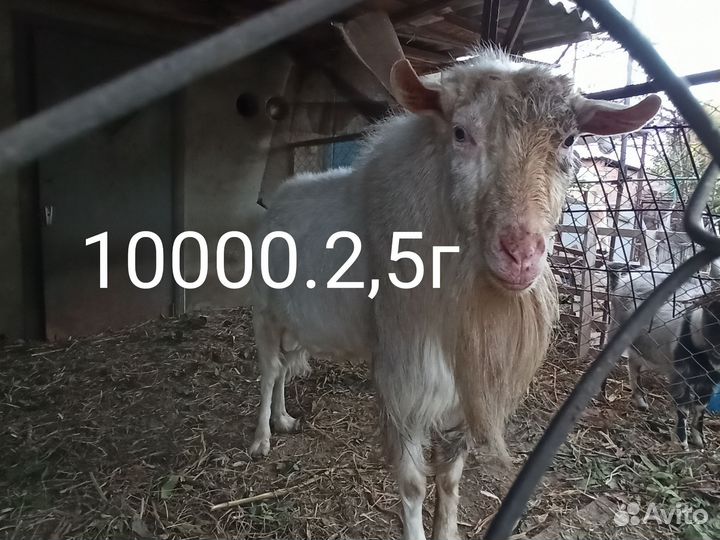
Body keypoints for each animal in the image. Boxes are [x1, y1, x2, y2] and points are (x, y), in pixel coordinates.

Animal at [251, 50, 660, 540]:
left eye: (568, 139)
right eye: (461, 133)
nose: (521, 254)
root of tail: (279, 200)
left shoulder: (461, 387)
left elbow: (449, 478)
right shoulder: (404, 379)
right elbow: (412, 484)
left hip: (296, 322)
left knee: (283, 369)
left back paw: (283, 419)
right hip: (265, 312)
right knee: (269, 371)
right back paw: (260, 438)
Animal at [608, 264, 720, 449]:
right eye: (712, 312)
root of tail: (623, 280)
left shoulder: (709, 380)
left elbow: (700, 408)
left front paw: (700, 441)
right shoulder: (682, 373)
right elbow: (683, 408)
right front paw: (682, 442)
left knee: (633, 364)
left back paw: (640, 401)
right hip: (616, 329)